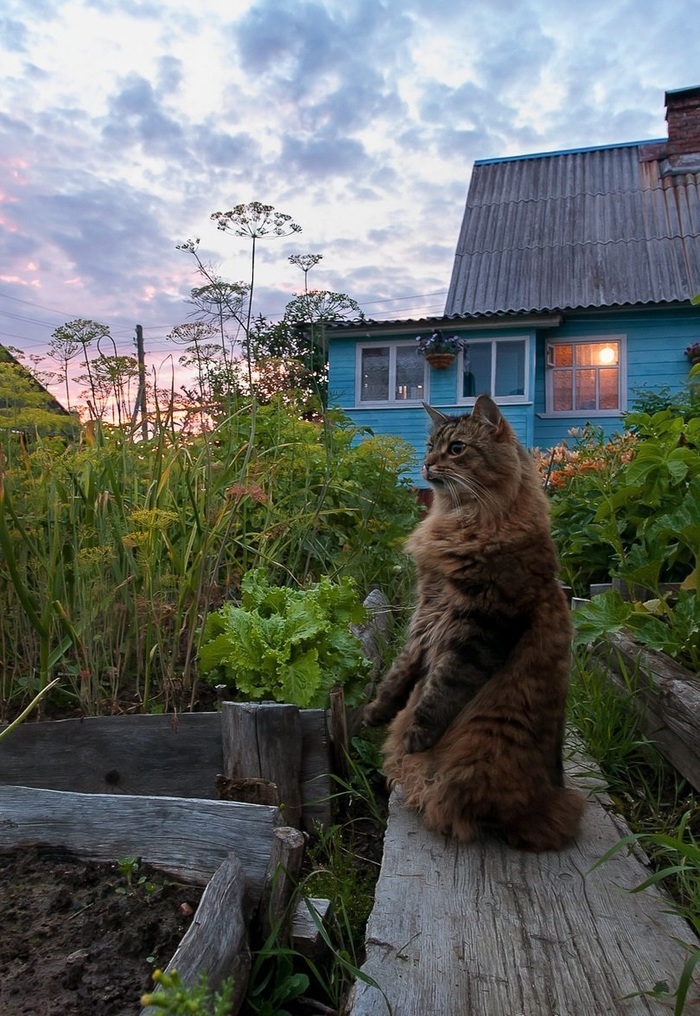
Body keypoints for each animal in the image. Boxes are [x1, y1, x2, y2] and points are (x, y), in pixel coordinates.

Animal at [365, 394, 585, 849]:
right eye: (431, 445)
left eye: (456, 449)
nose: (426, 464)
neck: (463, 519)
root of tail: (552, 801)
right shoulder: (427, 613)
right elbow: (400, 673)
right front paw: (377, 712)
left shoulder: (479, 627)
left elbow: (438, 692)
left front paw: (415, 736)